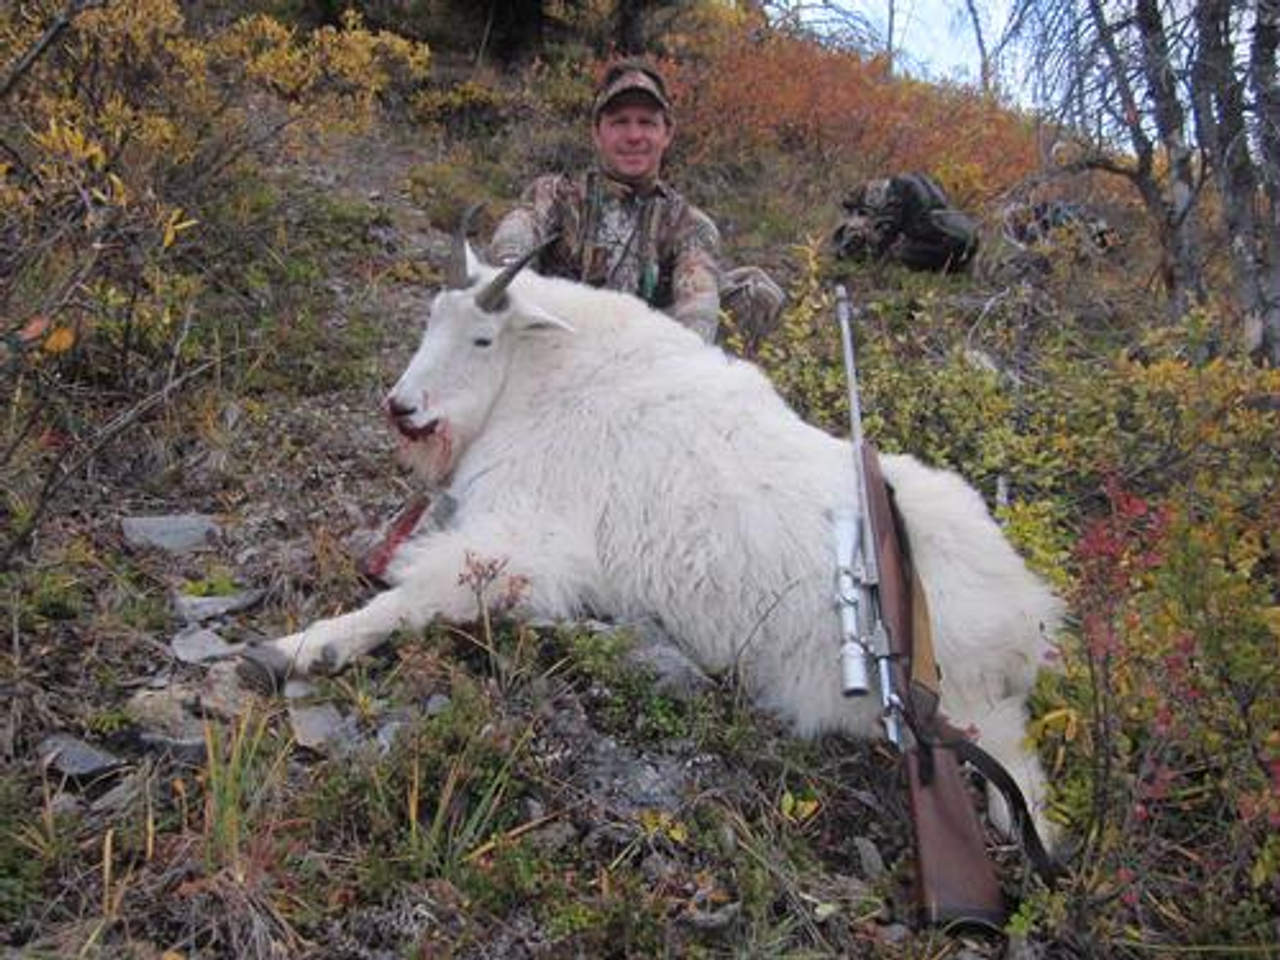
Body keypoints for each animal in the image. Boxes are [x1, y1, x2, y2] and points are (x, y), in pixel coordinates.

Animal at [247, 239, 1059, 834]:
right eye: (429, 321)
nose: (404, 407)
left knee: (1016, 771)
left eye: (480, 337)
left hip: (965, 699)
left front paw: (293, 649)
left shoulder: (532, 538)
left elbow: (412, 595)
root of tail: (1033, 616)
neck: (544, 380)